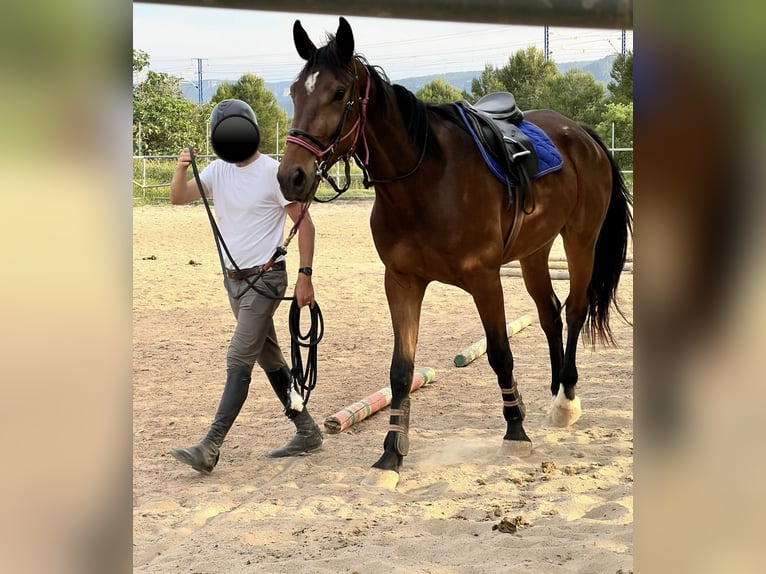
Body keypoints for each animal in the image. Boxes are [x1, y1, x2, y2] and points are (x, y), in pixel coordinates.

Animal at [277, 17, 632, 490]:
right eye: (296, 91)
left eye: (338, 93)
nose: (291, 177)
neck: (426, 182)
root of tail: (580, 133)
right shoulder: (402, 282)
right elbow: (401, 370)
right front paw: (390, 456)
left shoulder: (485, 279)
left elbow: (500, 352)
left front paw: (515, 431)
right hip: (534, 252)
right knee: (550, 314)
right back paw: (556, 388)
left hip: (579, 241)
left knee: (575, 310)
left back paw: (566, 401)